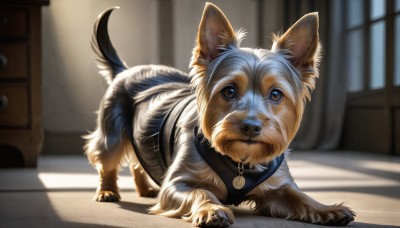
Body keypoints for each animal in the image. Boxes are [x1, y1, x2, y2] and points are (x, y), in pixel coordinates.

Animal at [85, 2, 356, 227]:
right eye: (229, 91)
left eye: (276, 94)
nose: (250, 126)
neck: (240, 161)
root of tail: (125, 70)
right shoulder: (177, 183)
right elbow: (201, 191)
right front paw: (211, 209)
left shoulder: (278, 187)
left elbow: (300, 197)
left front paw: (328, 209)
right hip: (111, 130)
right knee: (107, 159)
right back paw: (107, 191)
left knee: (137, 162)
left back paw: (145, 189)